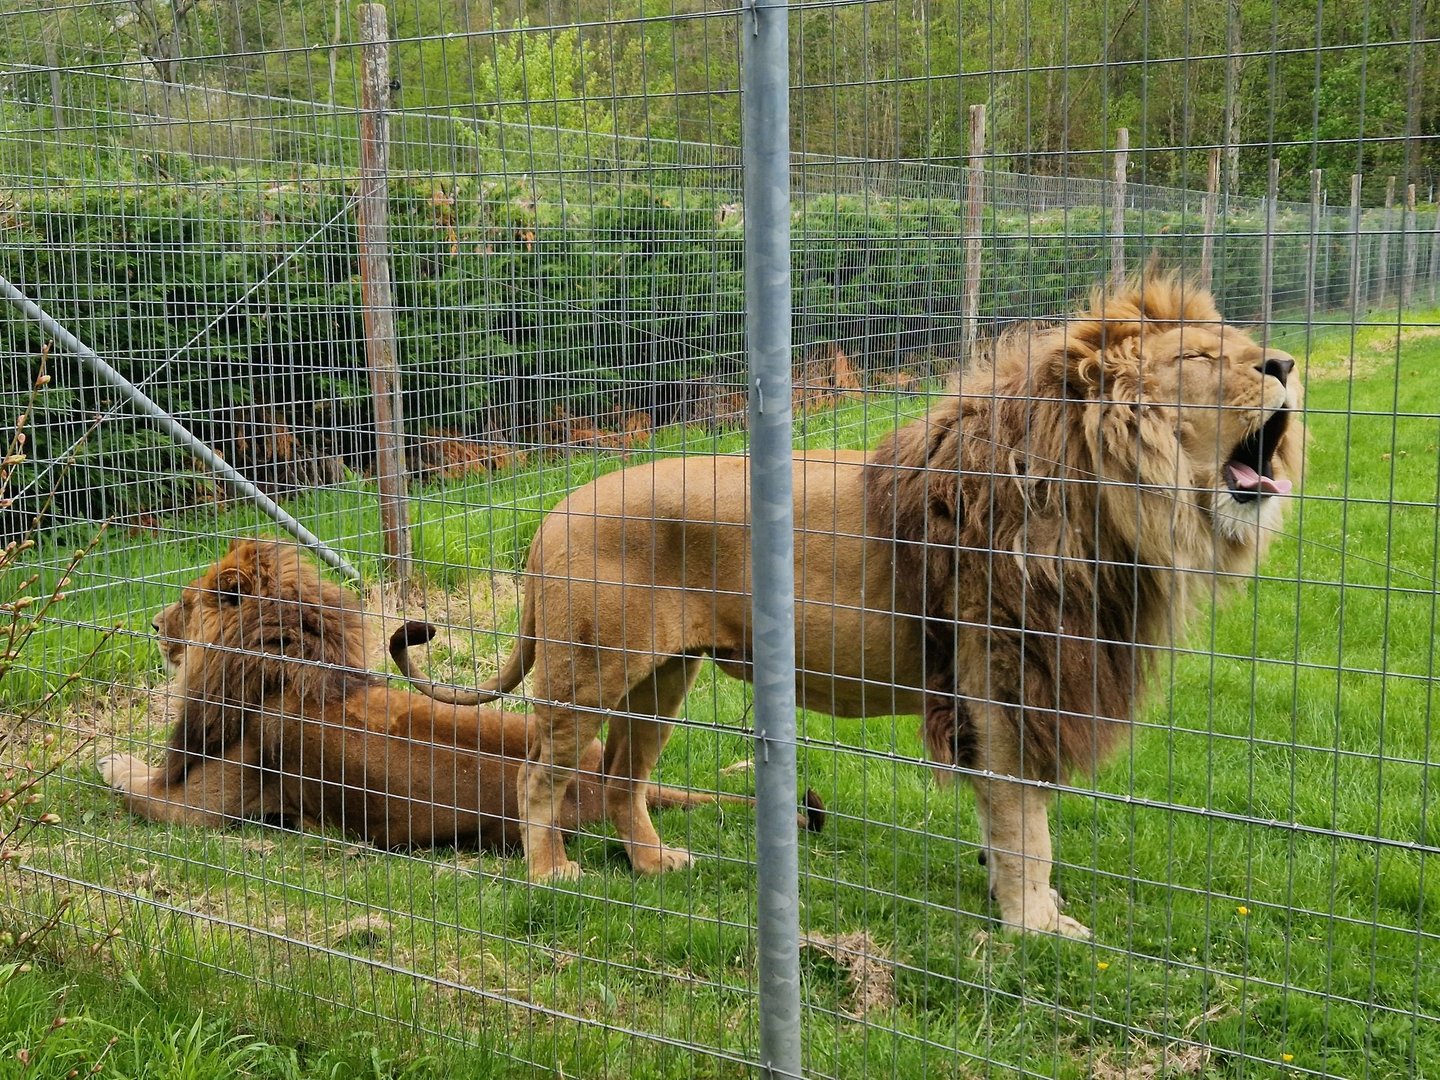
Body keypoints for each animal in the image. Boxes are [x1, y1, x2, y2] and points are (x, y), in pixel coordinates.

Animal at [100, 539, 823, 850]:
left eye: (185, 603)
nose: (154, 625)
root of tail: (597, 774)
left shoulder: (206, 806)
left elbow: (133, 787)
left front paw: (107, 761)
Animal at [390, 274, 1303, 937]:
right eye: (1200, 356)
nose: (1287, 365)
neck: (1099, 498)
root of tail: (550, 515)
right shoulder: (1004, 680)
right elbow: (1025, 827)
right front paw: (1036, 931)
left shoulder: (1024, 687)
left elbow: (1014, 819)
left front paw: (1024, 910)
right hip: (588, 673)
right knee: (541, 774)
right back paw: (551, 875)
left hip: (663, 677)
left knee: (622, 778)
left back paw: (654, 866)